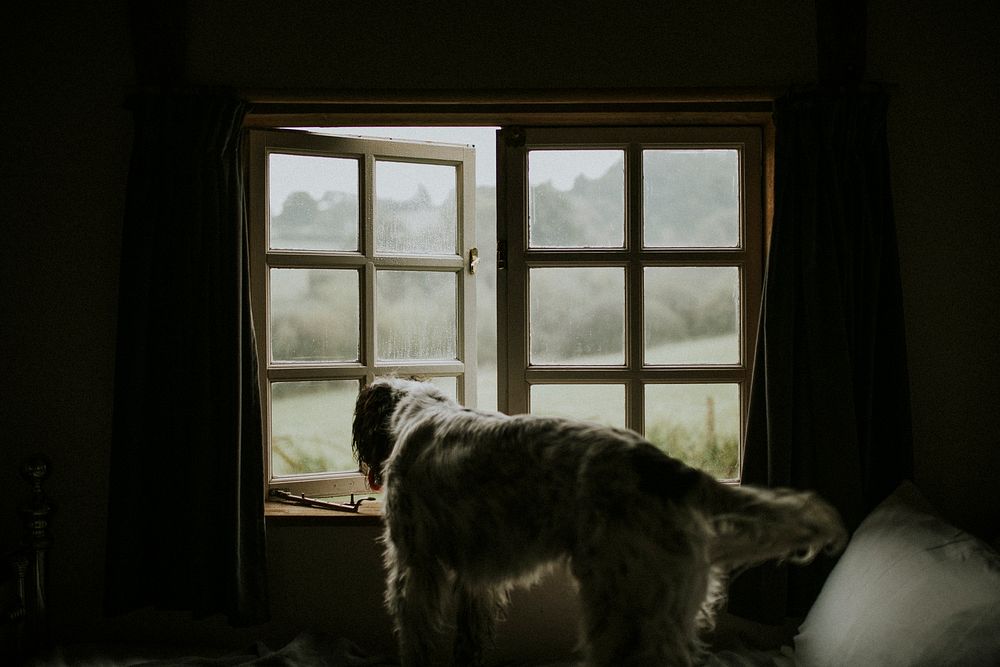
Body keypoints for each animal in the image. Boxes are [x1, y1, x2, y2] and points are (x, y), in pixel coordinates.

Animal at [356, 378, 848, 664]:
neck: (419, 412)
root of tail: (671, 469)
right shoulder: (475, 579)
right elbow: (469, 641)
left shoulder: (415, 566)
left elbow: (415, 640)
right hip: (658, 608)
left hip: (626, 609)